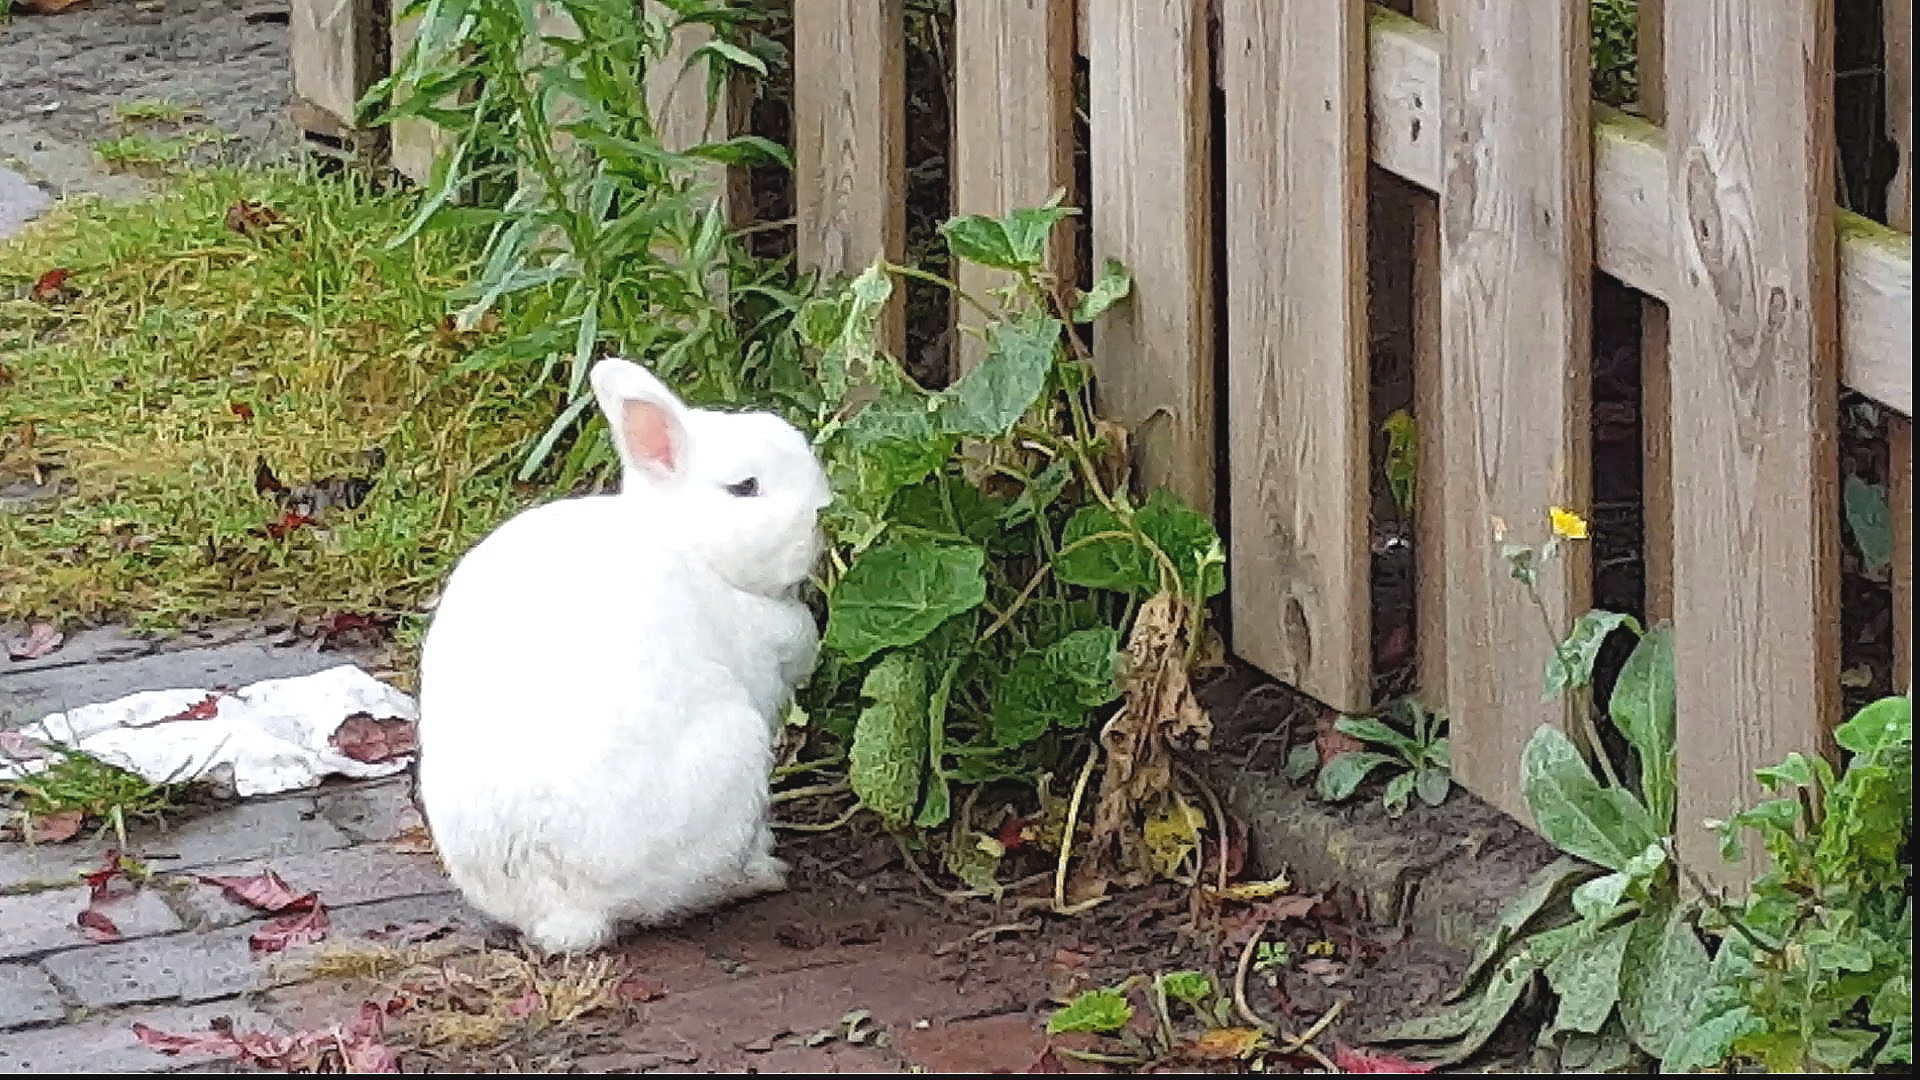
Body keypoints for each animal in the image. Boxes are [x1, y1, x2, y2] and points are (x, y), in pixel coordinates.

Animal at [416, 355, 829, 949]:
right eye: (745, 487)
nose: (823, 512)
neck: (689, 543)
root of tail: (567, 907)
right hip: (736, 755)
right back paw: (763, 872)